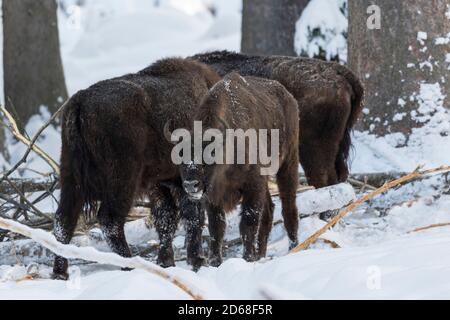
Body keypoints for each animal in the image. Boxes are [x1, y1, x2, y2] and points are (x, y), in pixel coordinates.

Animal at [52, 58, 221, 278]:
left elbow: (167, 218)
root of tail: (80, 101)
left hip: (70, 176)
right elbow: (191, 217)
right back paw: (129, 263)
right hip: (122, 179)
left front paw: (167, 262)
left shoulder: (161, 183)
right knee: (109, 220)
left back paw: (60, 273)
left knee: (64, 221)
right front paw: (197, 261)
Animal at [174, 72, 300, 264]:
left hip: (288, 164)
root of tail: (290, 98)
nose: (191, 185)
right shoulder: (213, 197)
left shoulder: (252, 186)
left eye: (209, 156)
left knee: (288, 208)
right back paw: (261, 255)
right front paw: (215, 261)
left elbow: (248, 223)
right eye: (181, 157)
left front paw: (247, 258)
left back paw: (294, 248)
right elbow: (216, 228)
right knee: (269, 211)